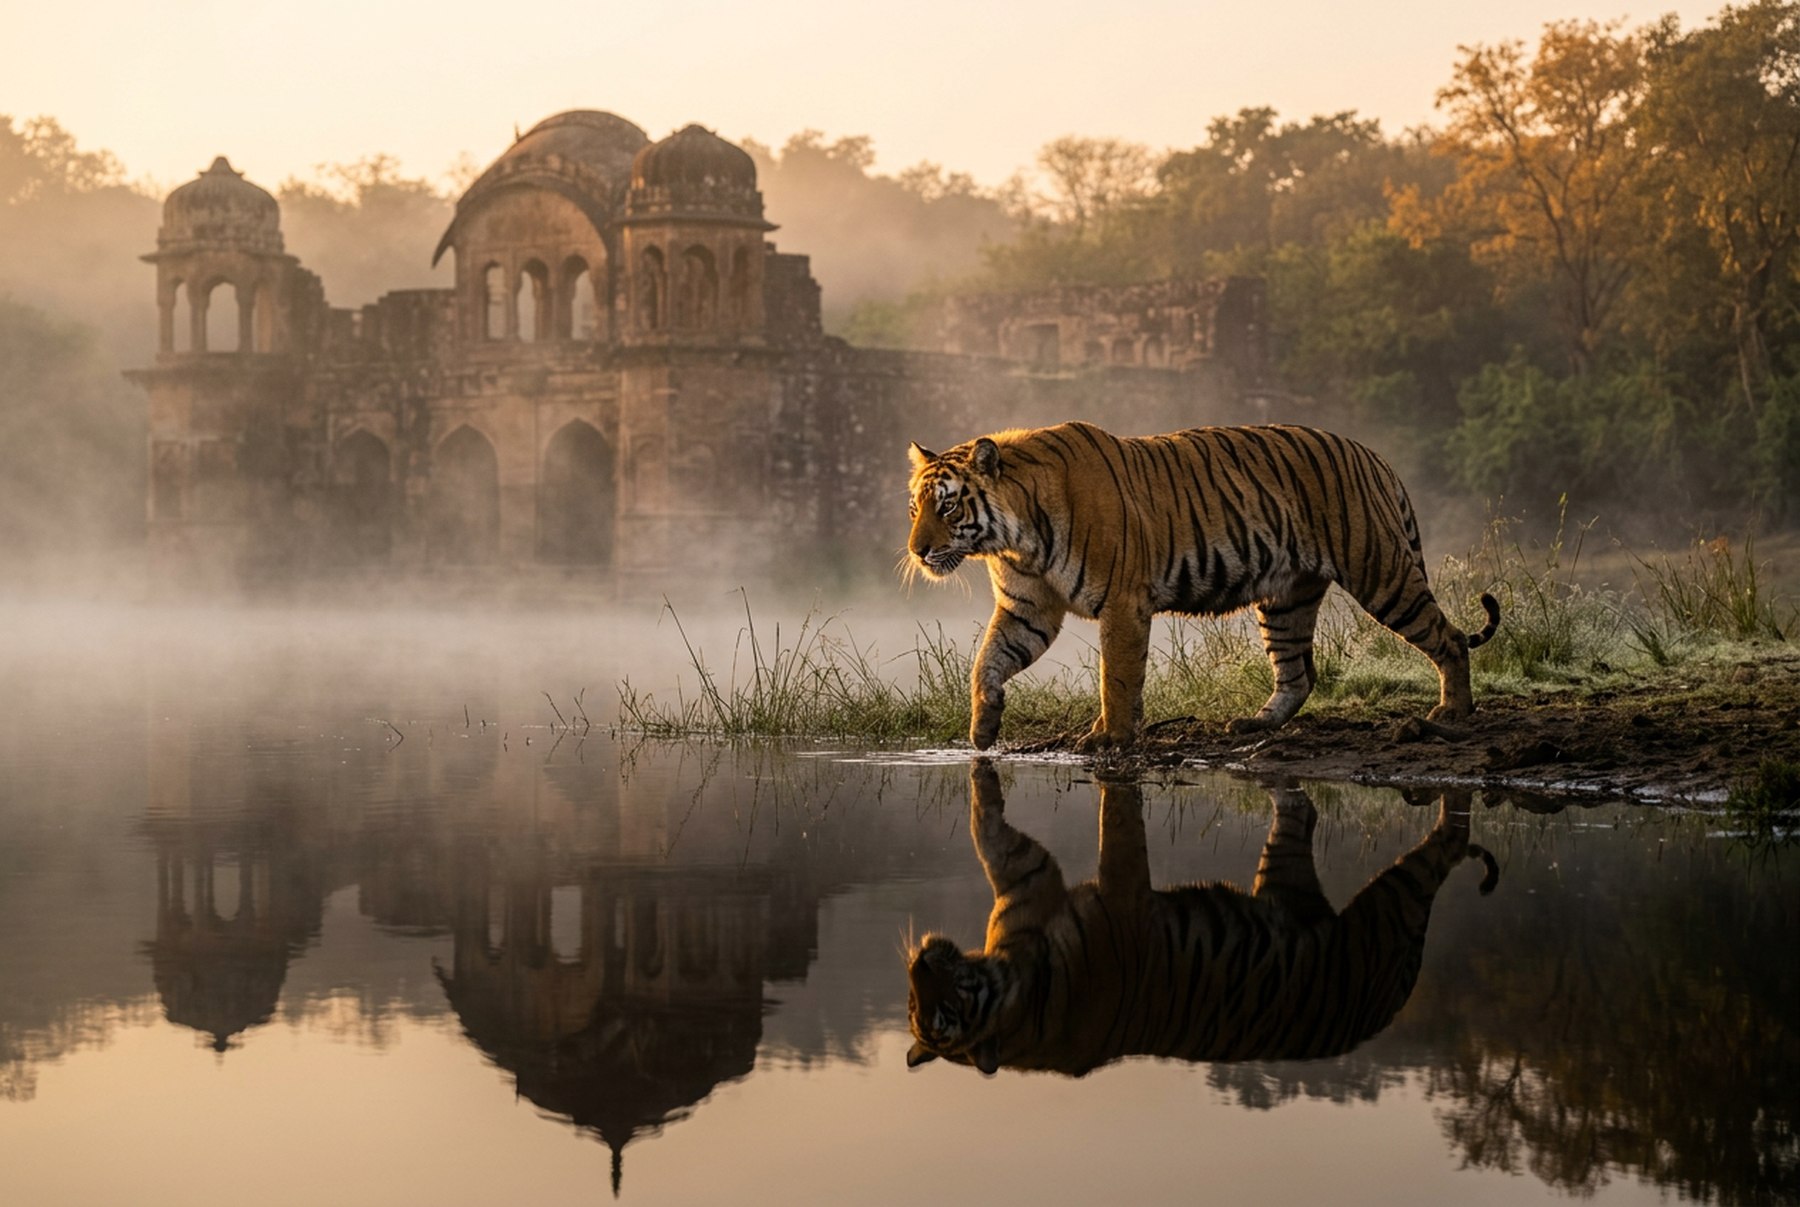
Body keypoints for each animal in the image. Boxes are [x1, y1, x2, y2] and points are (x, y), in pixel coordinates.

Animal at [904, 422, 1500, 752]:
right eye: (915, 507)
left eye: (948, 506)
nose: (916, 550)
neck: (1014, 538)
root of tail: (1373, 456)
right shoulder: (1027, 608)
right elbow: (987, 662)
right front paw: (984, 727)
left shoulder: (1122, 602)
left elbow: (1117, 677)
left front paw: (1109, 737)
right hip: (1285, 597)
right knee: (1298, 673)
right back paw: (1255, 724)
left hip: (1380, 571)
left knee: (1448, 638)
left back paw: (1453, 713)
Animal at [905, 759, 1498, 1076]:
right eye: (920, 1006)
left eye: (944, 1008)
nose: (918, 965)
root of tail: (1383, 1017)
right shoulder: (1038, 886)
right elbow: (995, 833)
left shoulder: (1096, 895)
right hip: (1328, 896)